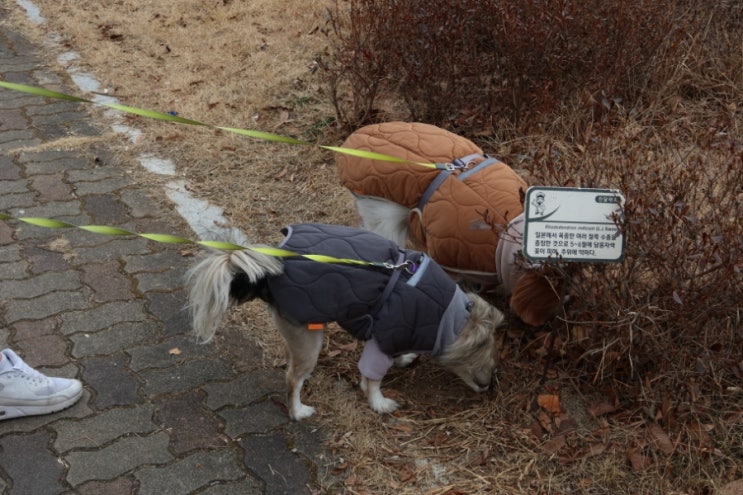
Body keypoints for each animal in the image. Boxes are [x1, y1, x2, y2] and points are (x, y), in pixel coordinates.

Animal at [185, 225, 506, 422]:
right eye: (483, 359)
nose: (489, 386)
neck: (448, 315)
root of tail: (269, 272)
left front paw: (404, 359)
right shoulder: (383, 339)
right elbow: (373, 378)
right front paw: (378, 402)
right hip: (310, 337)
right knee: (291, 379)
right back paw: (297, 410)